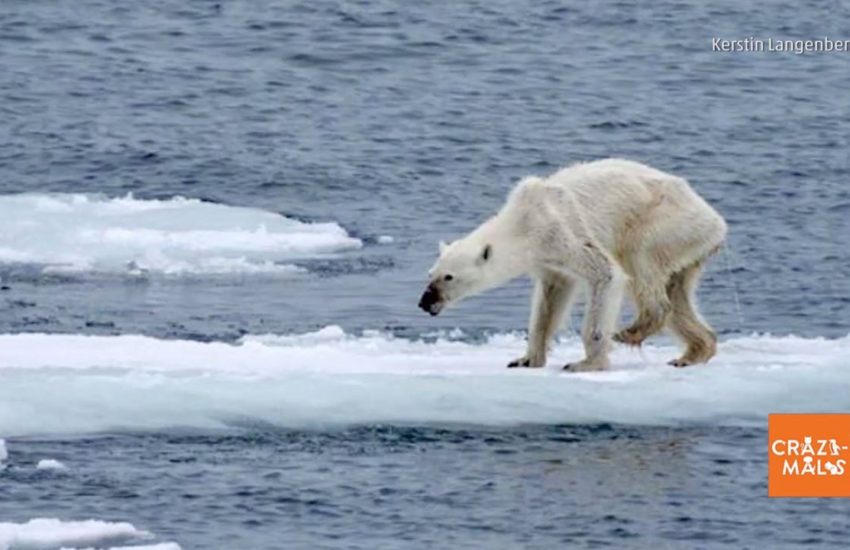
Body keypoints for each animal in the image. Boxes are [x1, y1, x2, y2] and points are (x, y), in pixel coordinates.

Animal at [418, 159, 727, 371]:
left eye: (448, 277)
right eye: (430, 274)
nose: (425, 302)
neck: (523, 221)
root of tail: (716, 221)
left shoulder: (561, 231)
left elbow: (606, 274)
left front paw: (586, 363)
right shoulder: (548, 259)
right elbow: (550, 299)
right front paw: (526, 359)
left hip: (665, 222)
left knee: (640, 261)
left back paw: (632, 331)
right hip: (688, 246)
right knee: (677, 292)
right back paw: (692, 353)